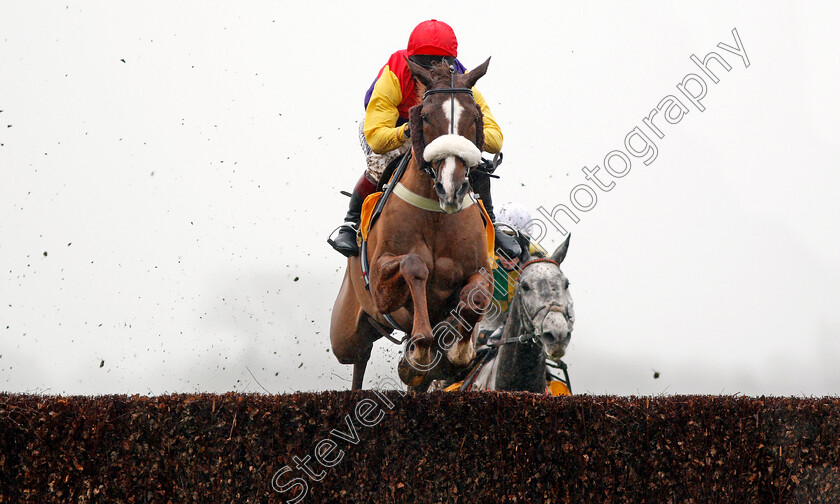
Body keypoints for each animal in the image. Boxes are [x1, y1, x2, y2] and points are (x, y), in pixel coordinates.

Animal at [330, 58, 498, 390]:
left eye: (474, 116)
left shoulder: (481, 270)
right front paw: (420, 347)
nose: (451, 187)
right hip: (345, 334)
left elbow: (476, 297)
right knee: (358, 359)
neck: (437, 215)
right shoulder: (380, 287)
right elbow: (414, 265)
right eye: (426, 116)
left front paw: (458, 349)